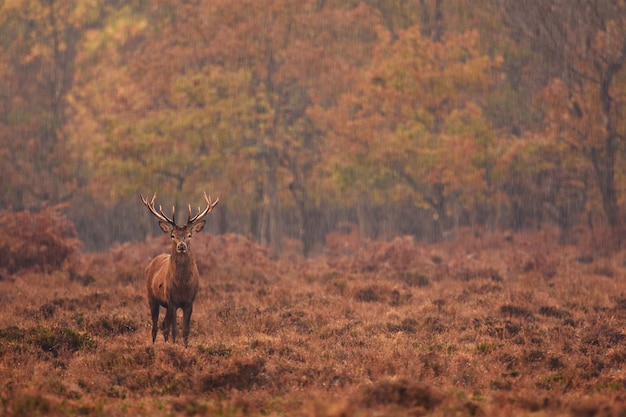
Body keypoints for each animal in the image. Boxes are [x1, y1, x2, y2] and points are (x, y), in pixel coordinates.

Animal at [140, 193, 218, 348]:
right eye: (172, 235)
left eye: (189, 235)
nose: (181, 246)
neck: (182, 285)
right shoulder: (172, 300)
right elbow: (175, 329)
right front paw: (174, 346)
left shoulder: (189, 301)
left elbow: (186, 330)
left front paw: (185, 347)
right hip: (152, 297)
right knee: (155, 326)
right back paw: (153, 346)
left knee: (164, 325)